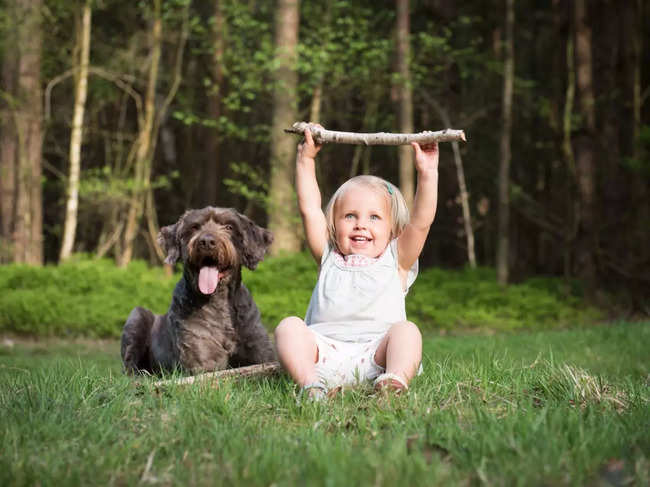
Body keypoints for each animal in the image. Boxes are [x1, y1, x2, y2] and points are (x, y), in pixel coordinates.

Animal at [120, 206, 274, 374]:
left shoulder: (262, 352)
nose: (206, 241)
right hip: (137, 315)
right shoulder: (203, 362)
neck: (219, 301)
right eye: (194, 227)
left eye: (229, 227)